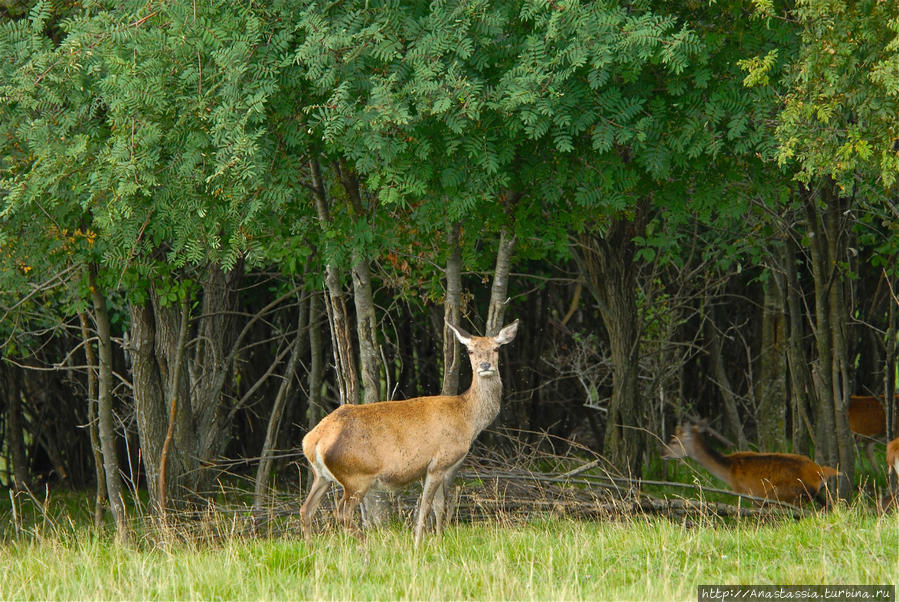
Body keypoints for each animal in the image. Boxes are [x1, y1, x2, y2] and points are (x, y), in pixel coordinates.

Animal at [300, 318, 520, 544]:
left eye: (496, 348)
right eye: (470, 350)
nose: (485, 366)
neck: (467, 420)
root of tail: (313, 440)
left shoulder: (435, 468)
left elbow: (440, 507)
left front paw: (438, 539)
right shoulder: (439, 462)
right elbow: (425, 507)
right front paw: (418, 542)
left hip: (322, 476)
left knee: (306, 509)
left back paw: (311, 547)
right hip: (356, 476)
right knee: (341, 512)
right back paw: (364, 545)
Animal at [660, 424, 844, 504]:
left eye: (674, 441)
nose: (663, 454)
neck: (728, 471)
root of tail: (821, 471)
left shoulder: (750, 493)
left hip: (789, 493)